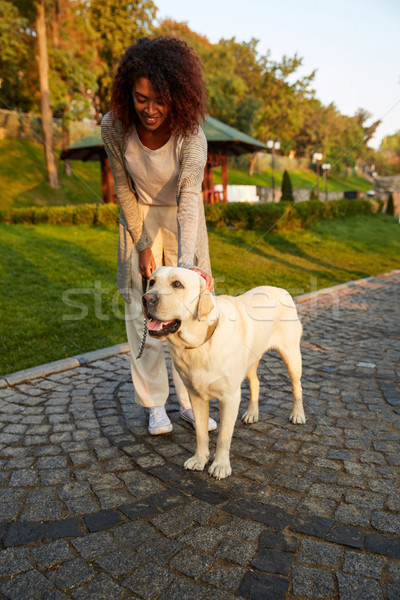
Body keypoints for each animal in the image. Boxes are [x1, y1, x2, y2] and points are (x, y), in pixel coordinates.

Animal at [142, 268, 304, 478]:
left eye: (177, 284)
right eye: (152, 282)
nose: (147, 298)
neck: (198, 344)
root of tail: (280, 289)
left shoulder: (230, 397)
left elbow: (224, 436)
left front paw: (220, 465)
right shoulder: (195, 396)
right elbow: (201, 433)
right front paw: (199, 459)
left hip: (291, 356)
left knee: (297, 385)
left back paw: (298, 414)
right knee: (256, 382)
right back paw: (252, 413)